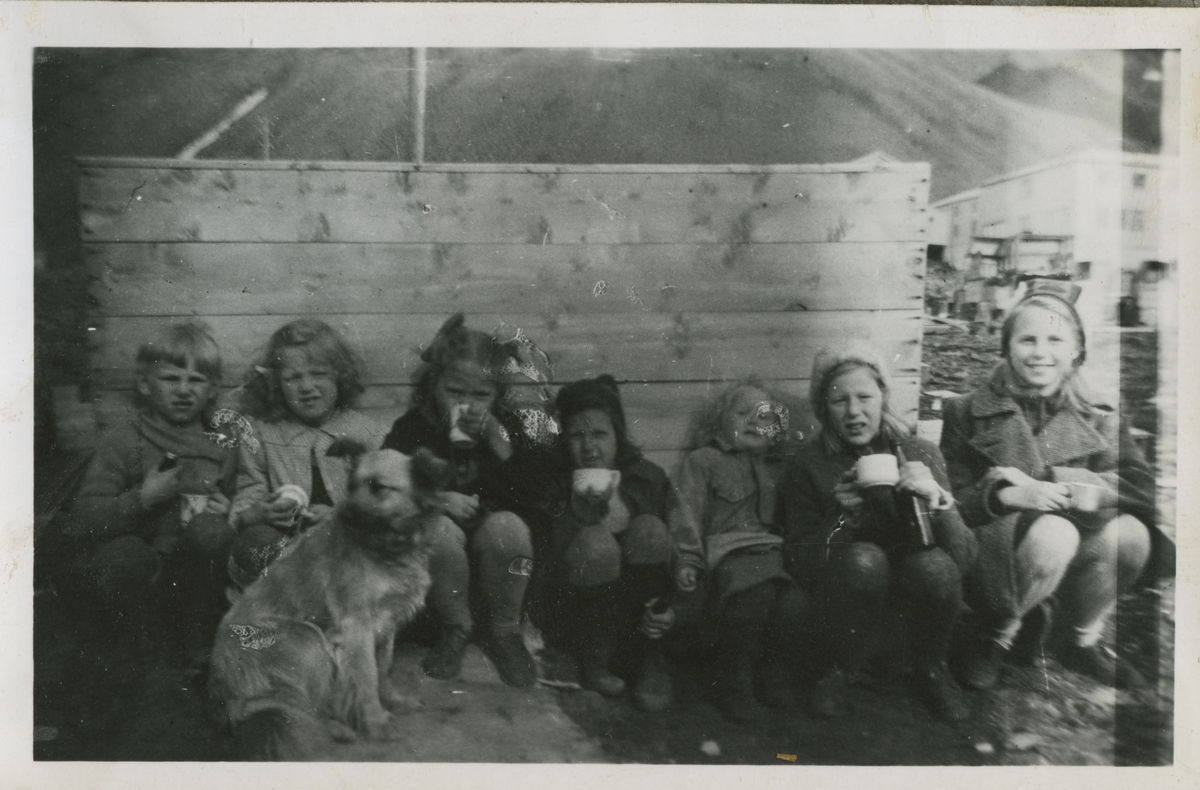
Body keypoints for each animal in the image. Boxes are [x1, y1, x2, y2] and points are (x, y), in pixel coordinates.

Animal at [208, 441, 448, 758]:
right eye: (351, 485)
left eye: (379, 488)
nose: (343, 516)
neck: (385, 548)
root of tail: (224, 694)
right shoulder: (356, 627)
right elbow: (367, 677)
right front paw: (376, 722)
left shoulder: (387, 624)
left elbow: (384, 669)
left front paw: (395, 702)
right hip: (308, 640)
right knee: (304, 708)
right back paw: (336, 728)